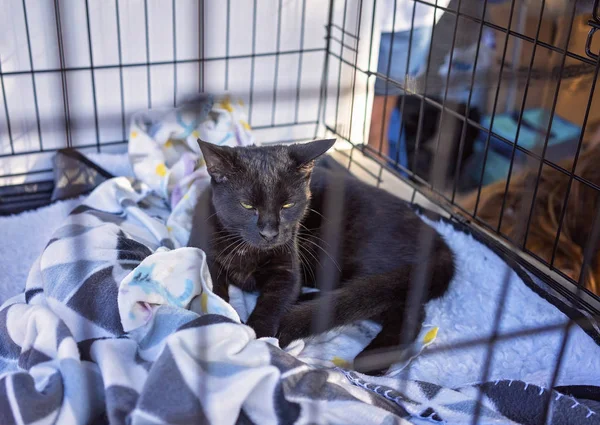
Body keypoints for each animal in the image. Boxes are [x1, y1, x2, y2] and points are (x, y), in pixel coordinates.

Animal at [190, 139, 452, 372]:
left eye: (287, 205)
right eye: (247, 206)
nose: (270, 233)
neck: (249, 250)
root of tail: (436, 238)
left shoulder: (287, 271)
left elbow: (271, 304)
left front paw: (257, 340)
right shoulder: (206, 253)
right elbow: (214, 291)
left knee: (403, 308)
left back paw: (372, 360)